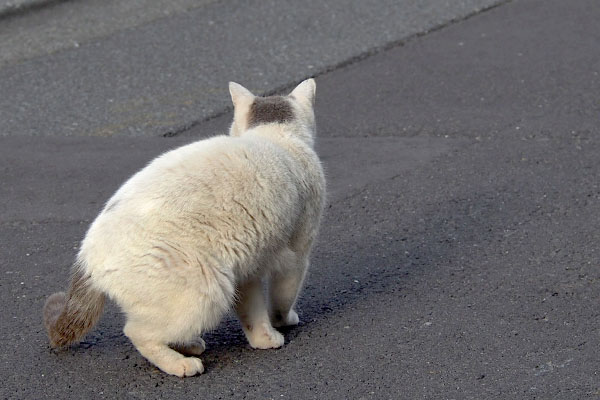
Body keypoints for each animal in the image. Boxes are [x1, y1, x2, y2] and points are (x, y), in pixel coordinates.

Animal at [42, 79, 326, 378]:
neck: (273, 135)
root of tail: (85, 257)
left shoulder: (248, 268)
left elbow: (253, 311)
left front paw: (263, 339)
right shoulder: (297, 253)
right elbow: (282, 298)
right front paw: (284, 323)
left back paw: (189, 345)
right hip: (208, 289)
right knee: (137, 332)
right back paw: (182, 363)